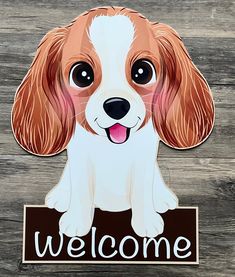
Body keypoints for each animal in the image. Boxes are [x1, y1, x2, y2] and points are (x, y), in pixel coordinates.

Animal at [11, 6, 215, 236]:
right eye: (82, 75)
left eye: (143, 71)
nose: (116, 104)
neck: (112, 148)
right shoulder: (80, 159)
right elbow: (81, 190)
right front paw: (77, 221)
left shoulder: (144, 159)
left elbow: (142, 190)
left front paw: (146, 221)